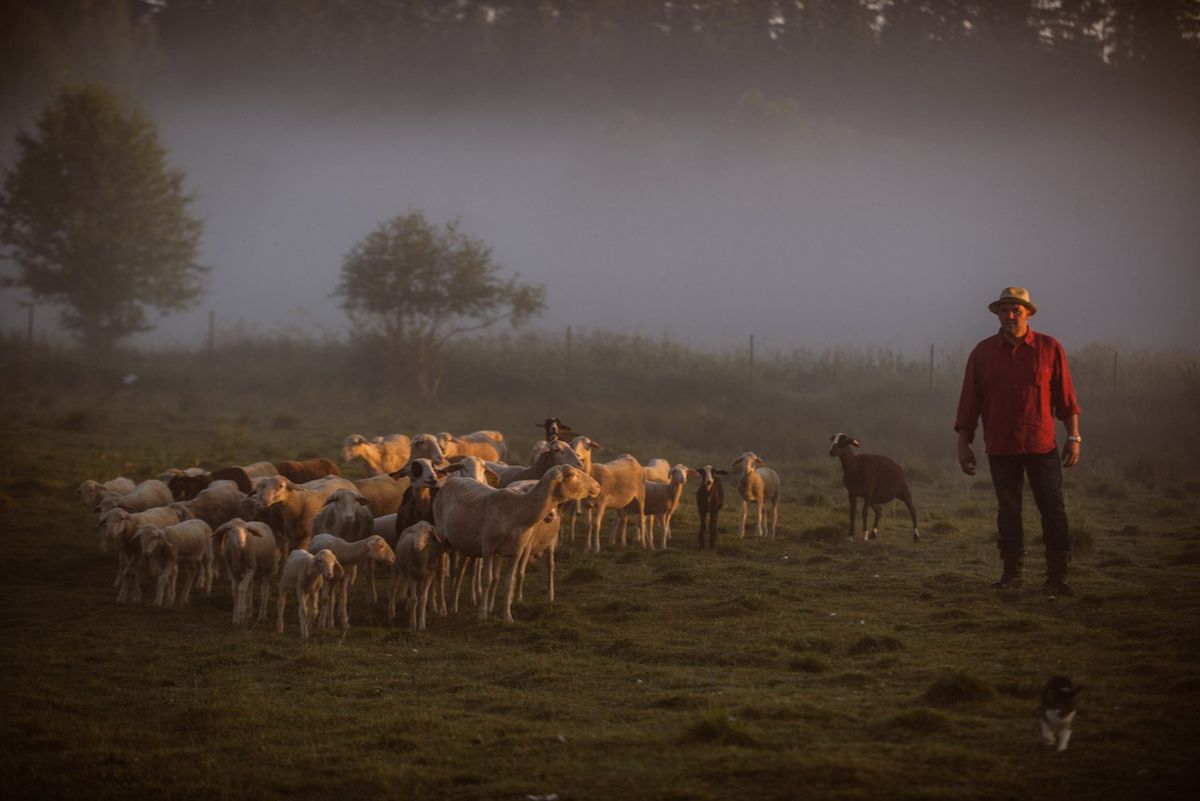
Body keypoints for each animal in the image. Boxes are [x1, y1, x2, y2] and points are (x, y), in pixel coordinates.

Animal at [434, 460, 600, 623]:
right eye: (572, 474)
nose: (598, 486)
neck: (517, 510)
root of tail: (453, 480)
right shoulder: (488, 547)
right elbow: (487, 579)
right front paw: (482, 614)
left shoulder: (516, 551)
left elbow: (509, 582)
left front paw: (507, 616)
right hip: (442, 537)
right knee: (446, 574)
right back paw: (444, 607)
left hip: (464, 544)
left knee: (459, 573)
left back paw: (452, 605)